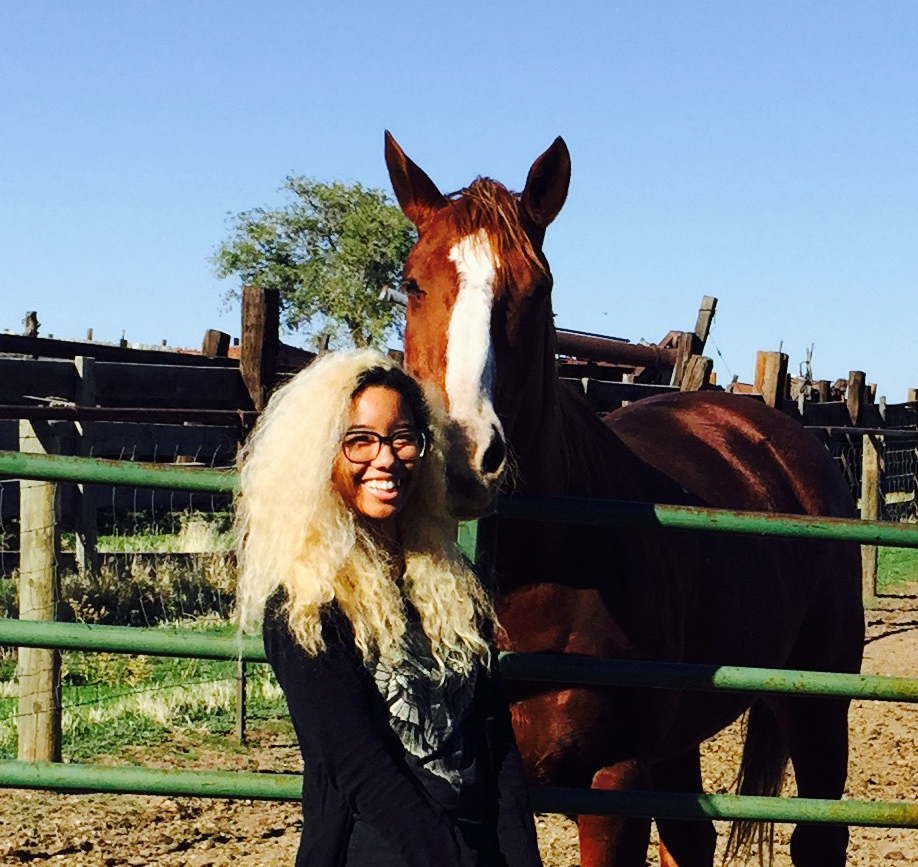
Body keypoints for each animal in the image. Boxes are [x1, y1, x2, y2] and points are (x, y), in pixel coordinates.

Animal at [384, 131, 868, 867]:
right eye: (412, 282)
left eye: (539, 289)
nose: (463, 454)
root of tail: (783, 433)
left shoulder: (613, 785)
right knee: (691, 840)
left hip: (816, 707)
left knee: (818, 838)